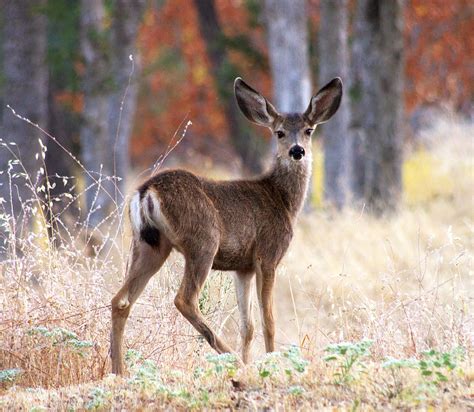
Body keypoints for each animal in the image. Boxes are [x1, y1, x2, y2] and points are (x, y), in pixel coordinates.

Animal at [109, 75, 342, 374]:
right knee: (184, 299)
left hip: (149, 245)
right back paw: (232, 360)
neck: (283, 201)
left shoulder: (243, 267)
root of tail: (146, 191)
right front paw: (269, 363)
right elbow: (268, 321)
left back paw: (119, 372)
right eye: (279, 132)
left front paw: (253, 360)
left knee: (121, 300)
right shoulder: (267, 255)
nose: (297, 151)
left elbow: (248, 326)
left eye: (308, 130)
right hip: (203, 240)